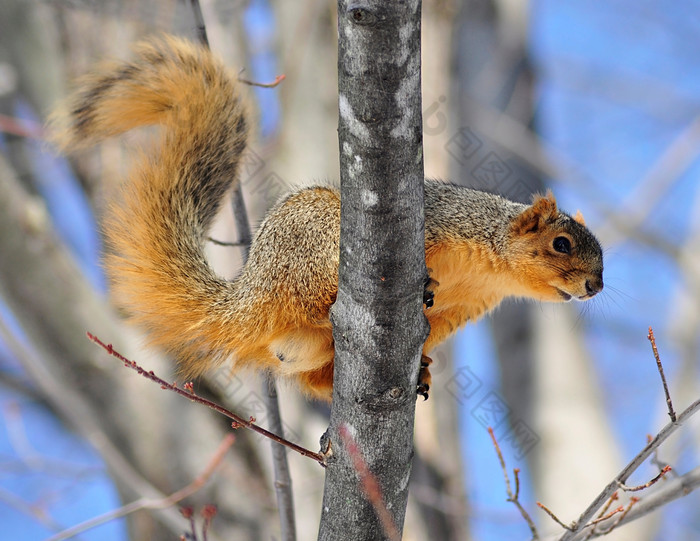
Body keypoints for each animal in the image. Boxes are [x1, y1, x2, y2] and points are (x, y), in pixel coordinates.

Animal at [52, 35, 604, 400]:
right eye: (561, 244)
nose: (595, 286)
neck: (488, 268)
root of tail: (249, 295)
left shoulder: (458, 312)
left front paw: (423, 367)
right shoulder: (442, 220)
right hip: (315, 243)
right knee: (317, 300)